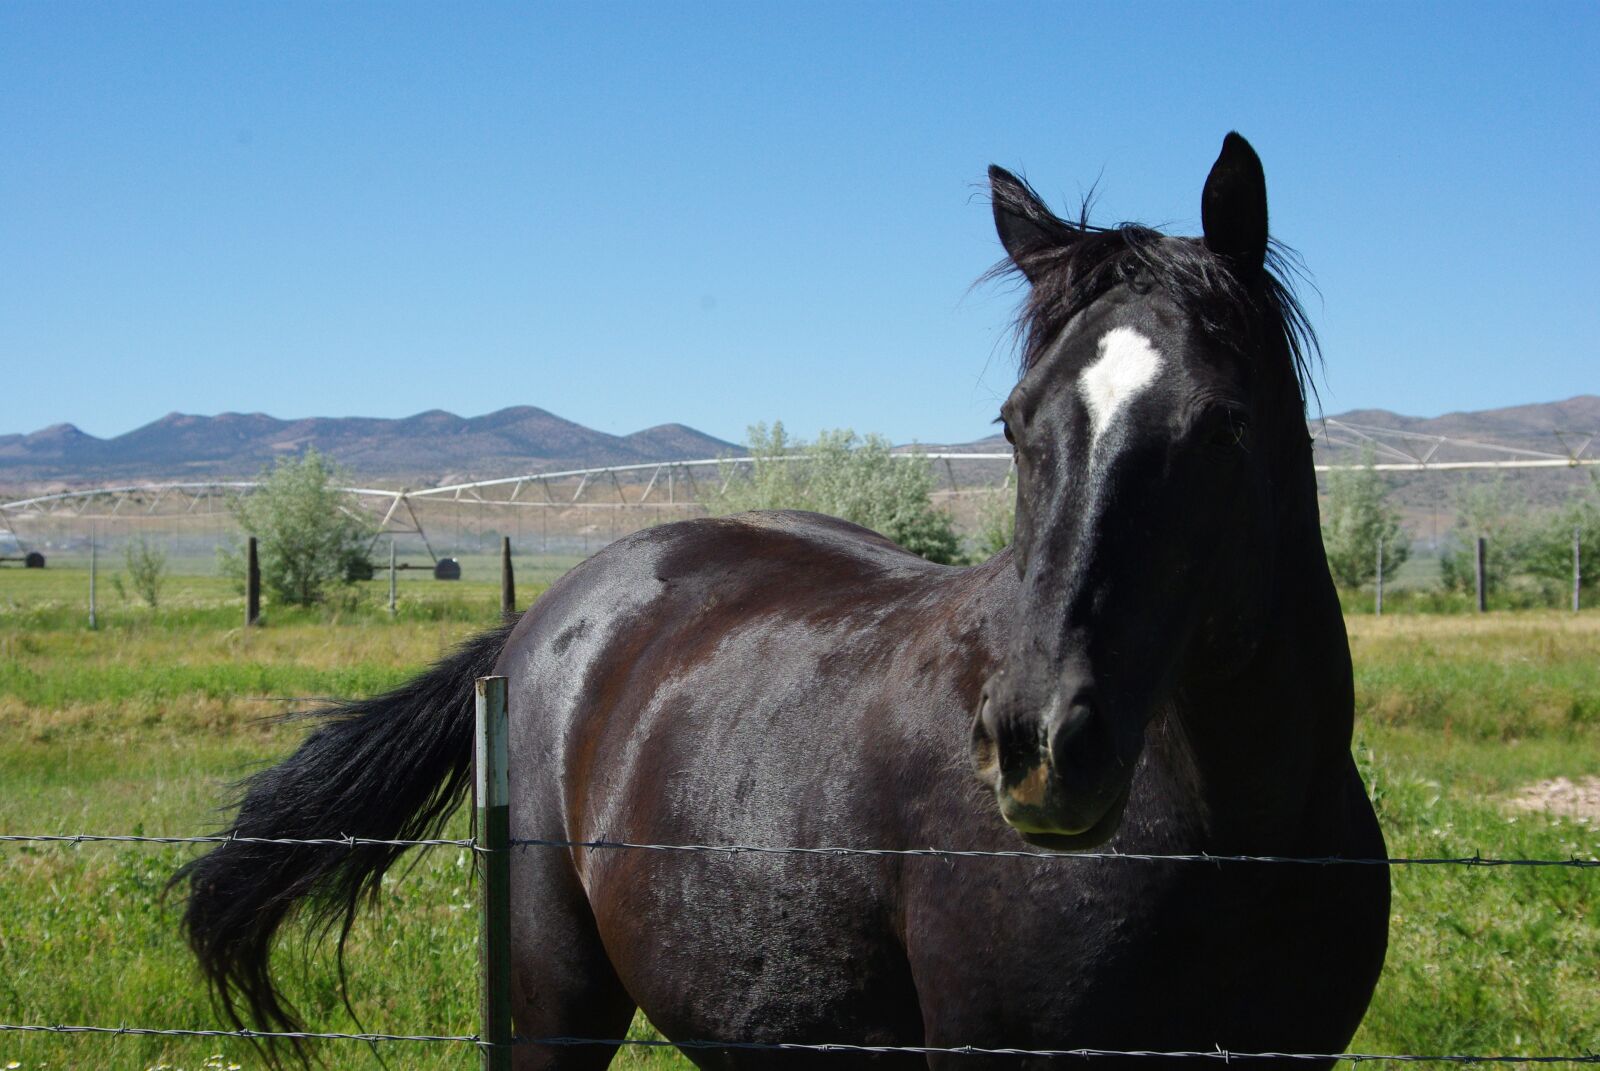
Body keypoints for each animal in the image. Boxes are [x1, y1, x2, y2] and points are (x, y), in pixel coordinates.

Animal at [178, 136, 1388, 1069]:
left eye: (1223, 425)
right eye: (1013, 422)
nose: (1040, 744)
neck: (1239, 841)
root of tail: (543, 621)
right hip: (554, 1004)